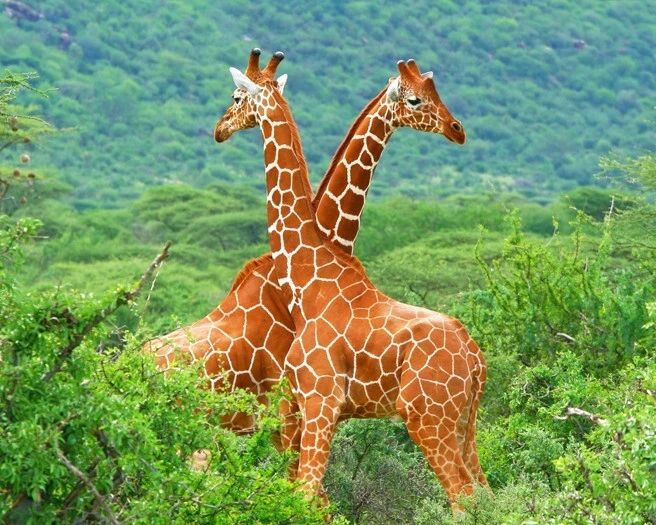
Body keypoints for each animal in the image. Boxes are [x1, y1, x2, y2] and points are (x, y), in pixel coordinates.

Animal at [214, 50, 487, 509]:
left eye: (236, 96)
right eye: (416, 98)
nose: (219, 128)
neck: (307, 278)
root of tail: (476, 359)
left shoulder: (318, 400)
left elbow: (307, 495)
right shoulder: (307, 409)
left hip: (428, 416)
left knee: (464, 496)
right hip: (465, 422)